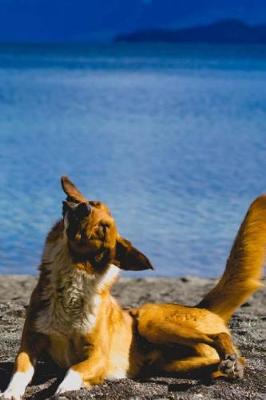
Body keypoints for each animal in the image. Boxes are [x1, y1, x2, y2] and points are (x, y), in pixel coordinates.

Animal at [1, 177, 264, 398]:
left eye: (104, 228)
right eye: (92, 203)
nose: (83, 206)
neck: (70, 277)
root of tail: (202, 307)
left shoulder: (98, 356)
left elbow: (73, 371)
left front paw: (62, 390)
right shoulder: (29, 344)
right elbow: (20, 370)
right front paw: (11, 392)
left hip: (151, 321)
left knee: (220, 336)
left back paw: (230, 362)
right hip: (172, 363)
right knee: (220, 362)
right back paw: (229, 368)